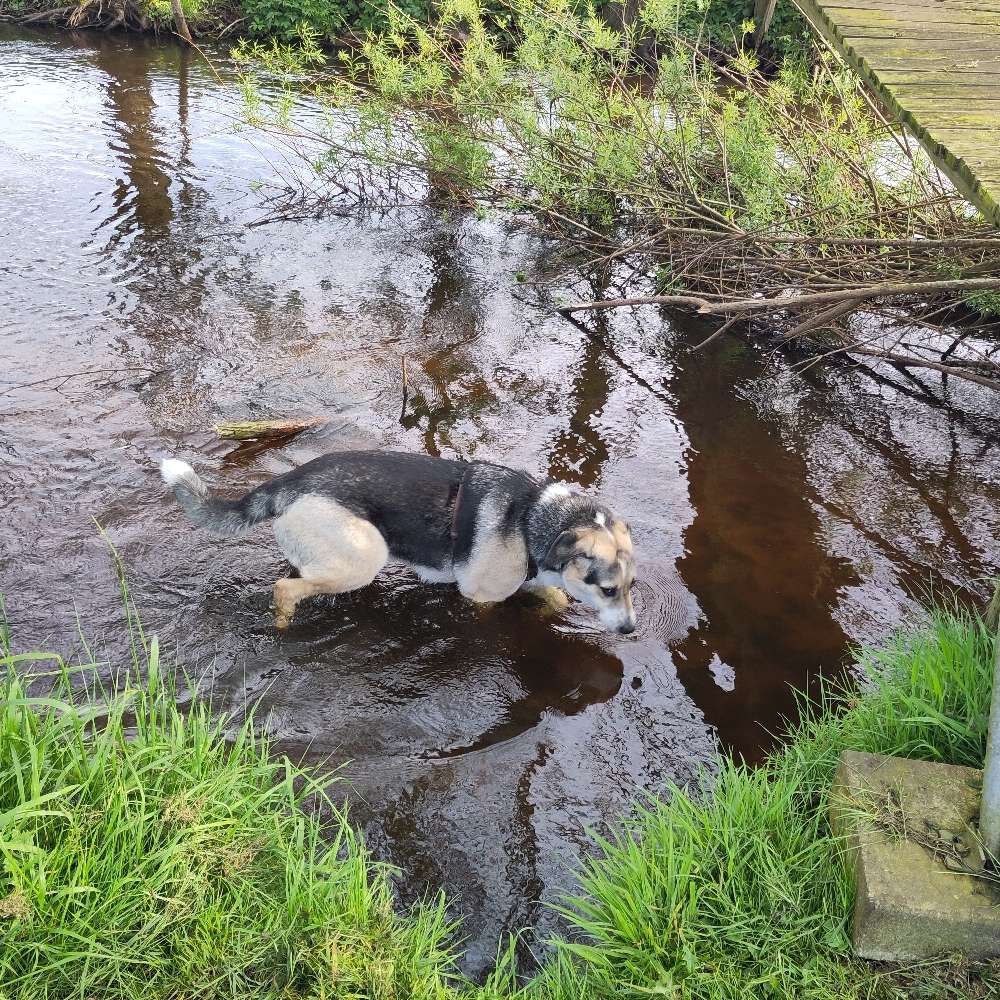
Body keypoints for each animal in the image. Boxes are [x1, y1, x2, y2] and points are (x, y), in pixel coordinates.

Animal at [160, 452, 636, 632]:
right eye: (607, 589)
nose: (630, 630)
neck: (532, 517)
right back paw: (281, 624)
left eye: (631, 587)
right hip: (366, 554)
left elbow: (555, 597)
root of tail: (288, 483)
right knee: (284, 588)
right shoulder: (481, 598)